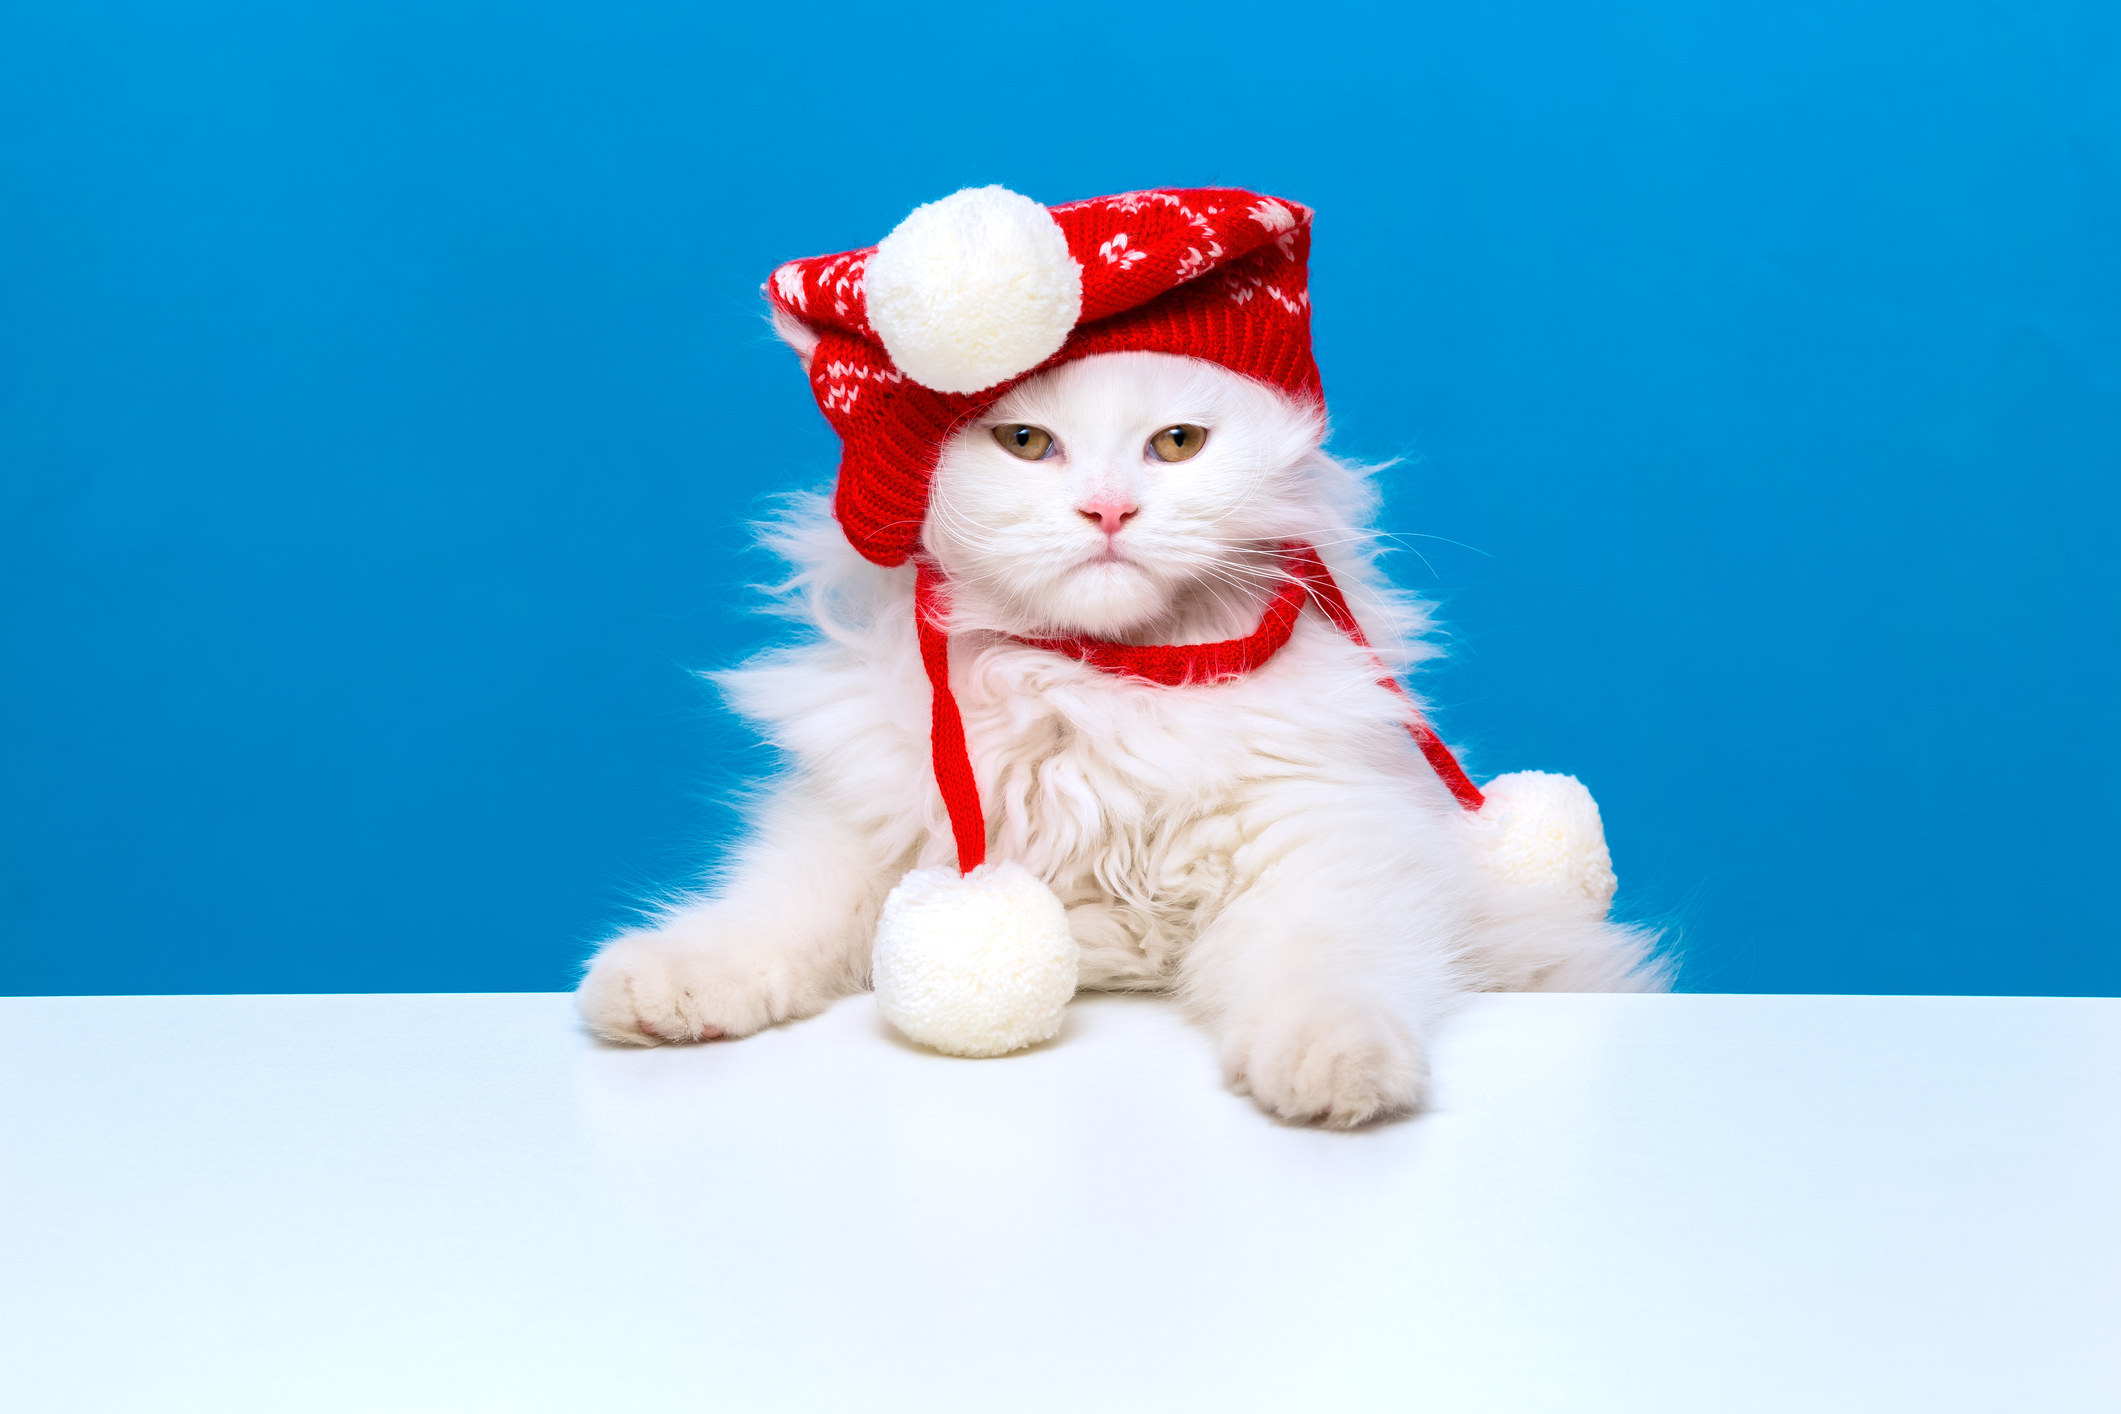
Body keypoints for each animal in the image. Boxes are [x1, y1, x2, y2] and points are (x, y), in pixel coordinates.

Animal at [581, 345, 1671, 1127]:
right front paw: (660, 986)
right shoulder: (860, 836)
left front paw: (1337, 1070)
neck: (1092, 685)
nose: (1107, 509)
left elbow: (1323, 974)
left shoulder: (1318, 856)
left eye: (1177, 443)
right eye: (1026, 442)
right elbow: (763, 916)